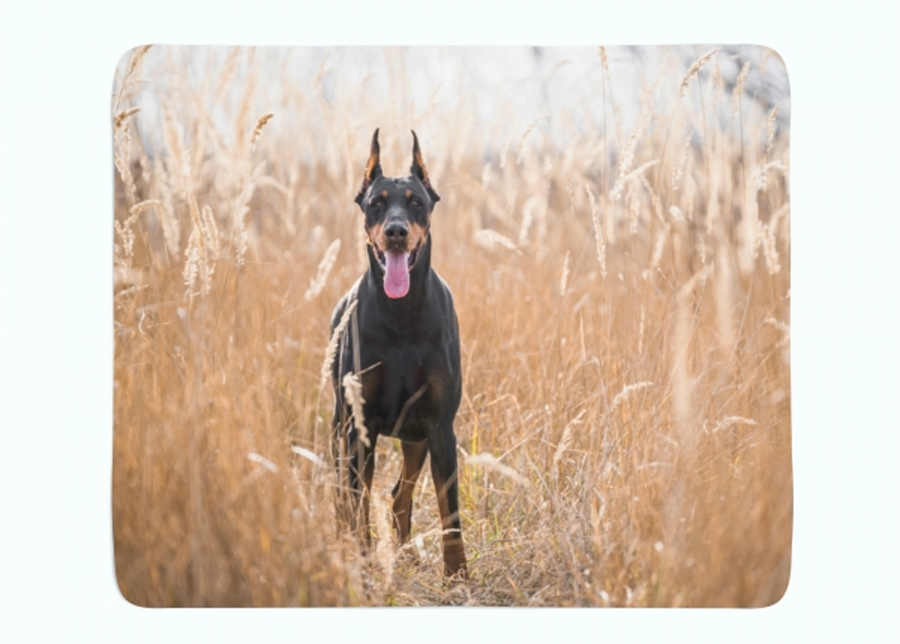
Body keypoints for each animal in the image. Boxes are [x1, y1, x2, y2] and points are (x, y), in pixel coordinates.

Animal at [332, 128, 472, 576]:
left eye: (415, 202)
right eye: (377, 202)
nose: (395, 231)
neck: (401, 316)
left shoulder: (440, 426)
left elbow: (450, 510)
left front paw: (457, 574)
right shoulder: (359, 428)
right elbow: (358, 502)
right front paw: (362, 560)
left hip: (416, 437)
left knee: (399, 495)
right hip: (340, 427)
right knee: (348, 494)